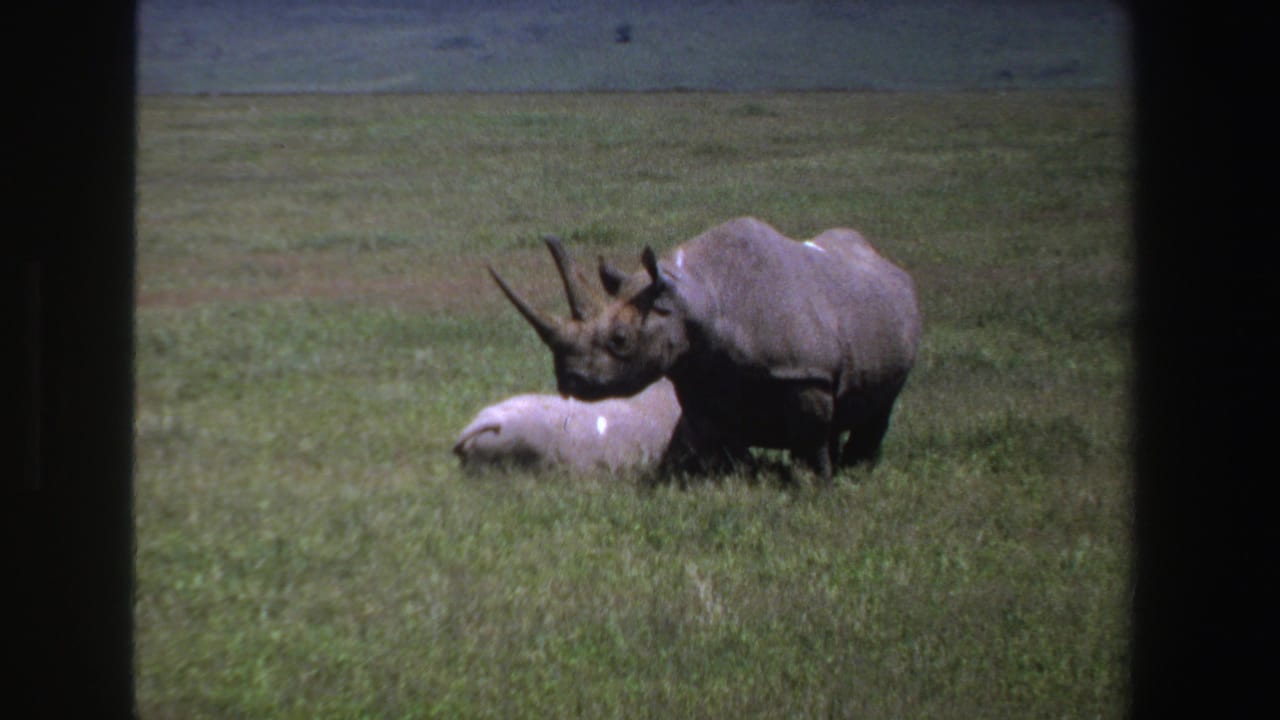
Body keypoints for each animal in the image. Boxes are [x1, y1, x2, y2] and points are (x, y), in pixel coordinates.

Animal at [489, 217, 920, 481]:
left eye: (621, 340)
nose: (569, 381)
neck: (697, 299)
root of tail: (882, 259)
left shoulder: (804, 372)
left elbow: (810, 438)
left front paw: (817, 487)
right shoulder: (700, 376)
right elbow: (714, 442)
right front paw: (725, 482)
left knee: (879, 408)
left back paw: (857, 471)